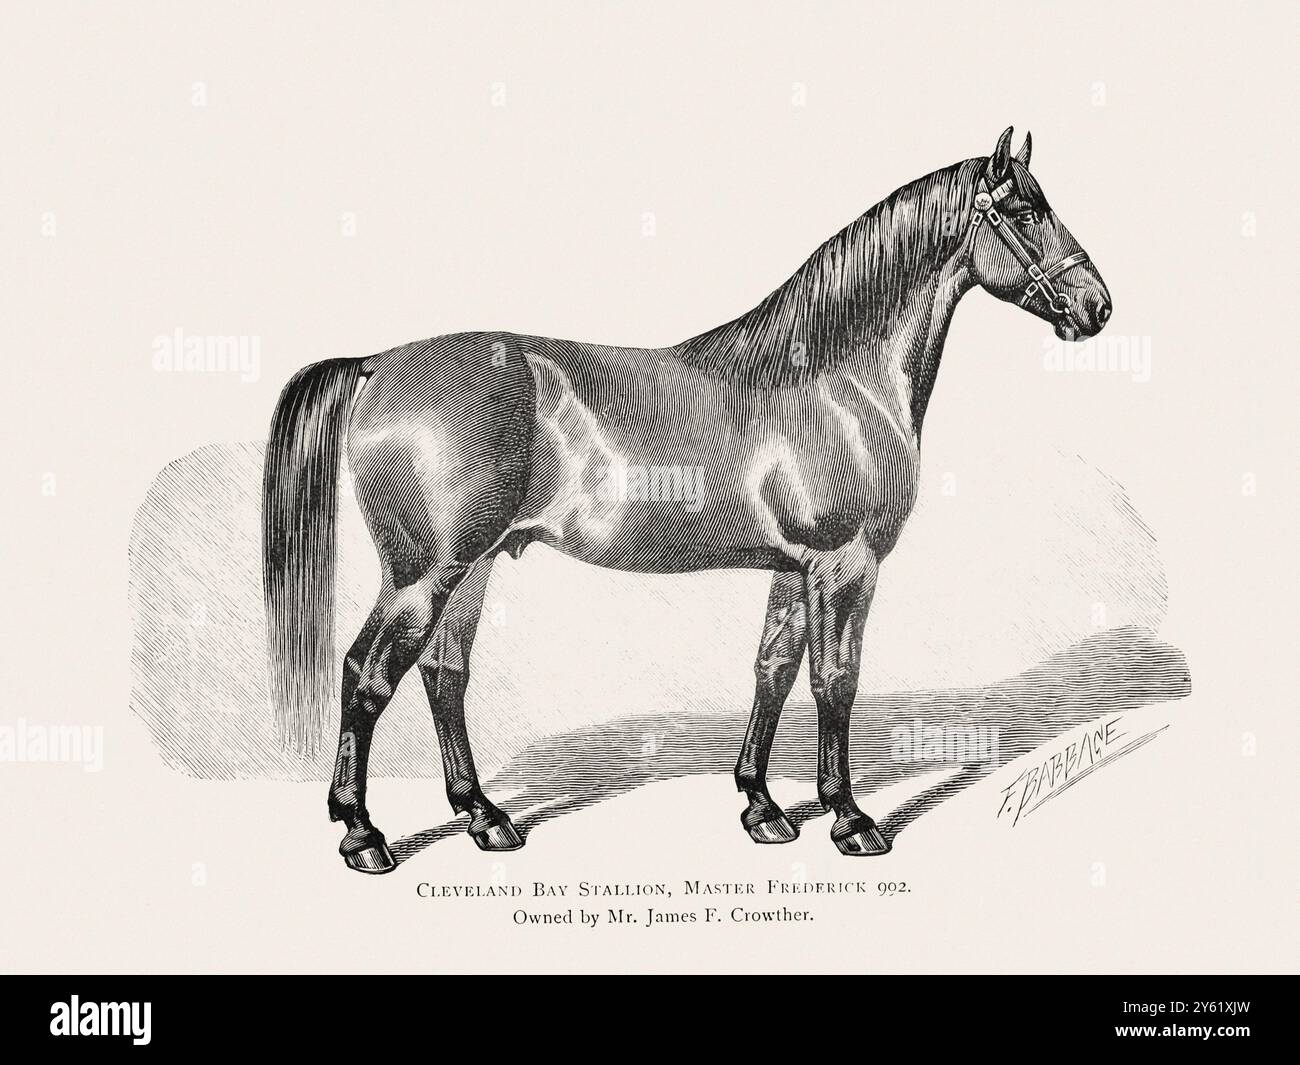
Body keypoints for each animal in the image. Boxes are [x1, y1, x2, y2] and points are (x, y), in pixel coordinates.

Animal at [263, 127, 1111, 874]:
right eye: (1025, 211)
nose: (1097, 306)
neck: (831, 379)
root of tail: (379, 363)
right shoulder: (845, 564)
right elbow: (835, 679)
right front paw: (849, 817)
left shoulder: (794, 569)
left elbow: (773, 669)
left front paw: (761, 806)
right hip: (423, 574)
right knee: (368, 673)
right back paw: (363, 833)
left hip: (472, 567)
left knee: (444, 675)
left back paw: (485, 816)